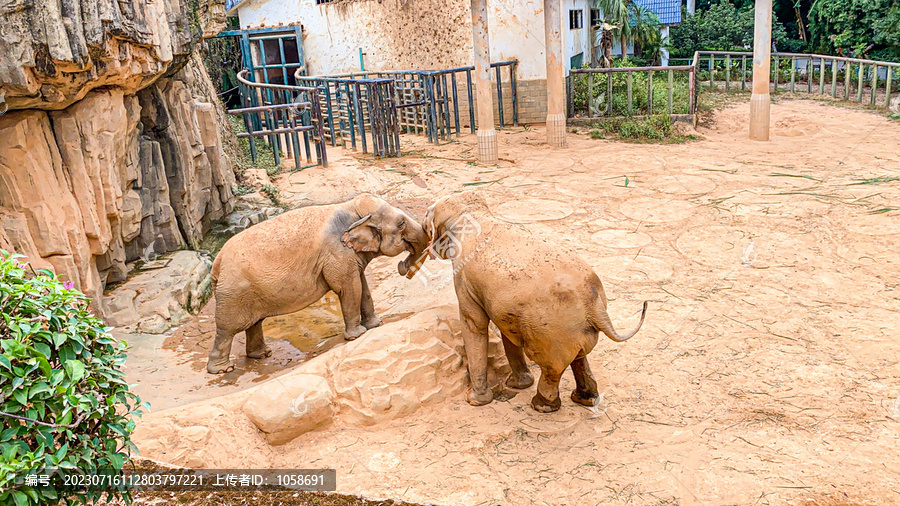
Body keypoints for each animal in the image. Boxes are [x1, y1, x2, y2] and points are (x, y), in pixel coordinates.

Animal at [207, 196, 428, 374]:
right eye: (401, 223)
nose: (403, 267)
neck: (350, 208)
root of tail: (216, 263)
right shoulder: (336, 254)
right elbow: (349, 288)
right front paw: (357, 335)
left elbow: (362, 286)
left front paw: (376, 324)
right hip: (233, 294)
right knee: (227, 329)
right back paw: (223, 370)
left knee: (254, 323)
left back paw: (262, 355)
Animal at [422, 192, 648, 414]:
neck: (474, 213)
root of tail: (595, 306)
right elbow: (507, 332)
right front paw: (516, 385)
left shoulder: (464, 278)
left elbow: (474, 323)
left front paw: (474, 400)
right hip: (574, 329)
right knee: (579, 356)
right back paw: (585, 399)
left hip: (552, 331)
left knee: (551, 366)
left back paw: (542, 405)